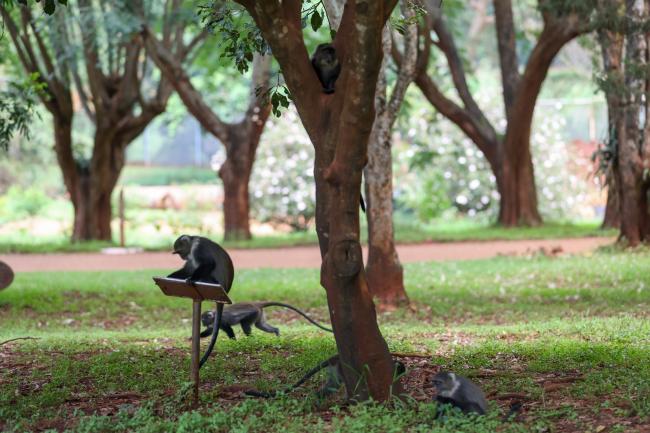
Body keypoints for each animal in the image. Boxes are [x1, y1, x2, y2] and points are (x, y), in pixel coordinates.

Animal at [168, 234, 234, 368]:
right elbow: (188, 268)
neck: (192, 241)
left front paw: (191, 279)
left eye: (180, 251)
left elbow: (209, 263)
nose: (182, 257)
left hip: (213, 281)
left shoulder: (198, 248)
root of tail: (225, 289)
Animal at [199, 302, 333, 340]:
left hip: (253, 313)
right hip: (259, 314)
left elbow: (228, 329)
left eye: (204, 319)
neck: (214, 315)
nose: (202, 323)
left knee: (245, 325)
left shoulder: (220, 320)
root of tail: (256, 304)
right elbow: (211, 331)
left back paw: (250, 339)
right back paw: (276, 331)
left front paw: (234, 341)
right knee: (260, 325)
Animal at [245, 355, 406, 399]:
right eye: (401, 370)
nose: (402, 374)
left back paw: (317, 398)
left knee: (333, 385)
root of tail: (336, 357)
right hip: (341, 368)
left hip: (335, 370)